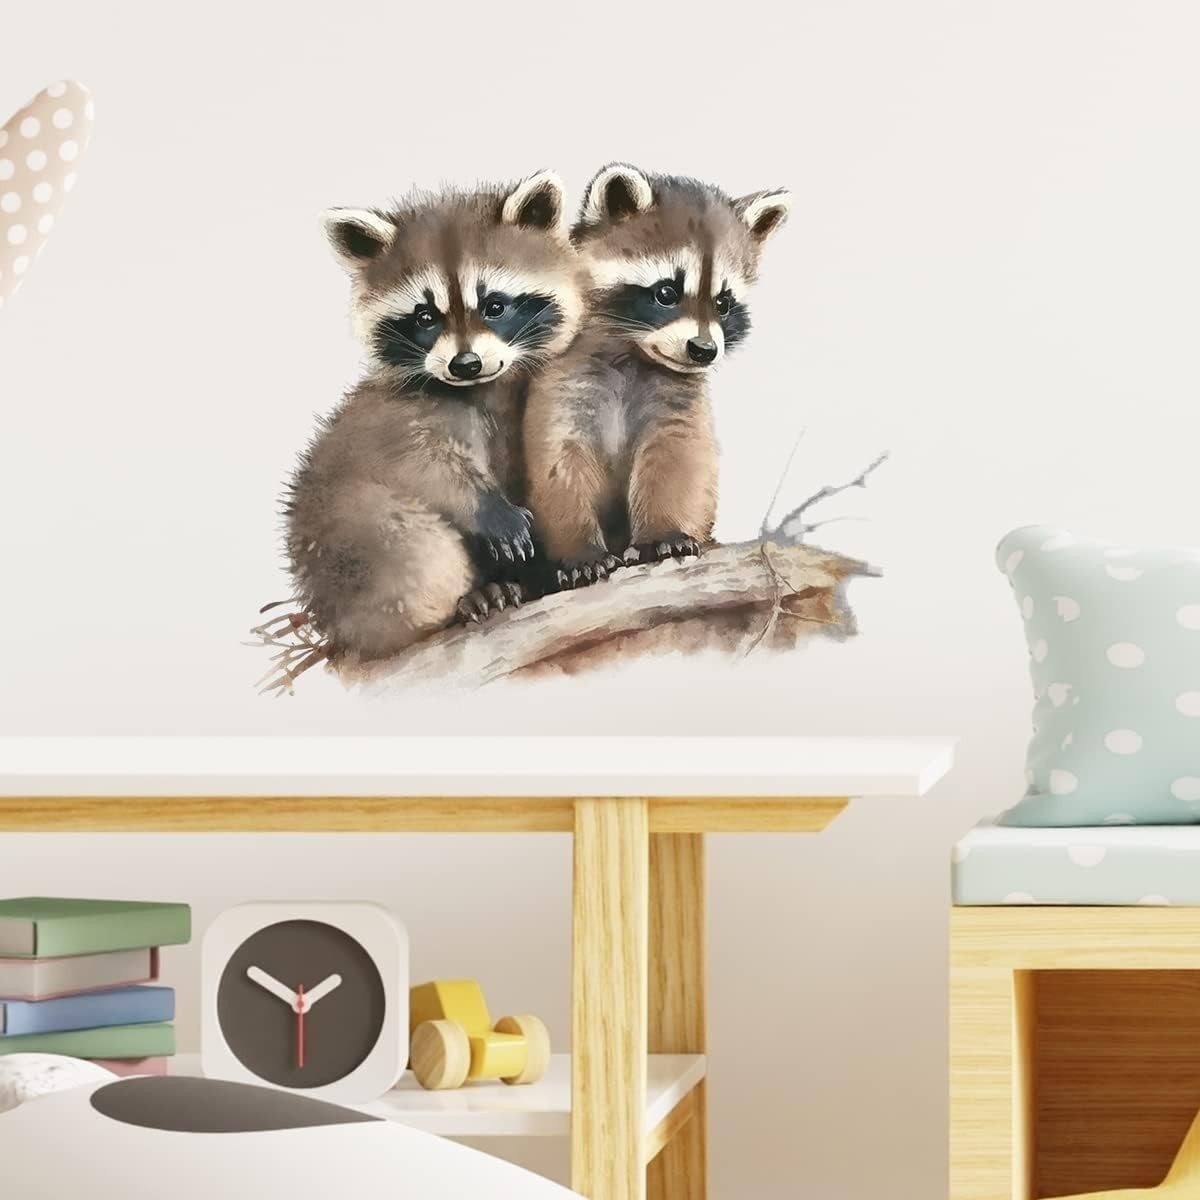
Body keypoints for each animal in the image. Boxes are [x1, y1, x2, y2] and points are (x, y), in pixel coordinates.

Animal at [284, 171, 588, 661]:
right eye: (425, 316)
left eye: (495, 306)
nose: (465, 364)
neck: (478, 388)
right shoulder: (388, 422)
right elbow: (421, 466)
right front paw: (483, 505)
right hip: (350, 550)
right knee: (409, 544)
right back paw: (458, 604)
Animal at [524, 164, 791, 584]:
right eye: (666, 292)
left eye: (723, 302)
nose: (703, 350)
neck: (633, 354)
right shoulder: (562, 385)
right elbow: (558, 466)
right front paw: (579, 549)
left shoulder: (678, 403)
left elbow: (677, 459)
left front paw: (662, 532)